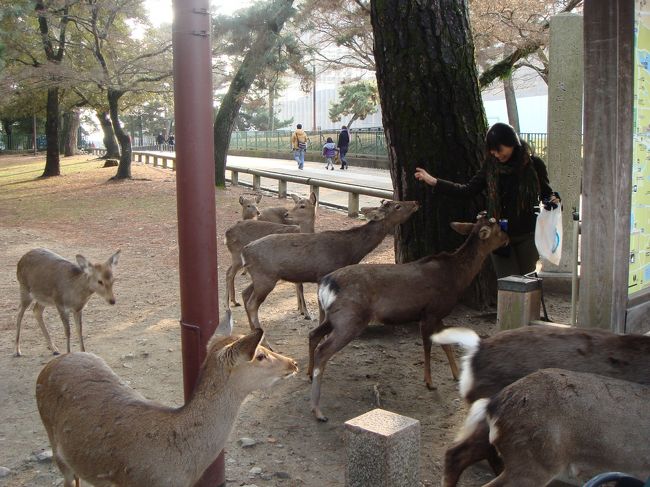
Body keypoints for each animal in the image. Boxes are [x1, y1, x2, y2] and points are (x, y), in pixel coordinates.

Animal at [240, 200, 420, 334]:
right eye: (397, 206)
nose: (415, 202)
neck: (350, 251)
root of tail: (245, 250)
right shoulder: (324, 273)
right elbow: (323, 313)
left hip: (259, 276)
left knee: (245, 293)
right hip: (266, 277)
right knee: (252, 304)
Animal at [309, 214, 509, 421]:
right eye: (498, 229)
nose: (508, 239)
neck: (457, 278)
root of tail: (326, 284)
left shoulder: (438, 314)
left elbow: (446, 344)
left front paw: (456, 375)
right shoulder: (430, 312)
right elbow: (428, 345)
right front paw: (429, 382)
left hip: (334, 318)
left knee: (313, 334)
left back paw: (309, 375)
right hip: (350, 318)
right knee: (323, 349)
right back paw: (317, 410)